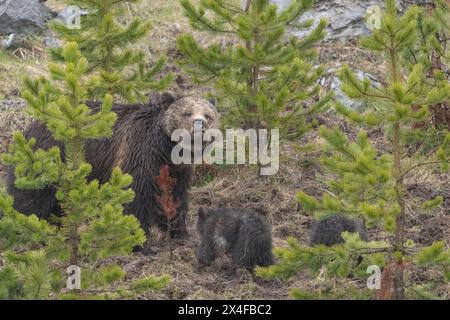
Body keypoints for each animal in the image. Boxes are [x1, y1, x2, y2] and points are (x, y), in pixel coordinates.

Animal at [5, 92, 220, 238]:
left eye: (208, 115)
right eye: (187, 113)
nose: (200, 124)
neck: (167, 149)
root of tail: (28, 127)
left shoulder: (177, 169)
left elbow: (174, 195)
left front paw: (179, 231)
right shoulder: (139, 152)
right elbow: (135, 193)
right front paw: (138, 238)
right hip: (46, 159)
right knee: (31, 198)